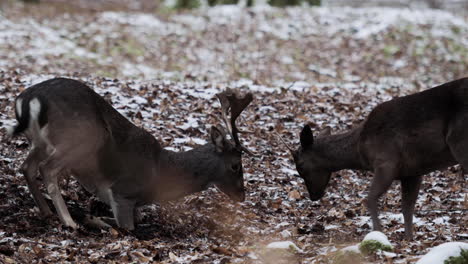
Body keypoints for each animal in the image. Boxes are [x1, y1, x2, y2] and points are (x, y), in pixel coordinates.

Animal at [6, 77, 252, 230]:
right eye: (236, 165)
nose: (242, 195)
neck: (161, 171)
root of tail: (28, 99)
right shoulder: (123, 193)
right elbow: (127, 226)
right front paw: (95, 220)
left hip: (39, 142)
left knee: (26, 166)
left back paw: (47, 211)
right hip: (80, 139)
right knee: (47, 168)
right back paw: (69, 221)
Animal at [288, 77, 468, 239]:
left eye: (300, 167)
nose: (313, 196)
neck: (361, 149)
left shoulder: (386, 161)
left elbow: (369, 199)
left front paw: (378, 233)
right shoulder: (412, 172)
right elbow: (407, 207)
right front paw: (408, 239)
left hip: (460, 142)